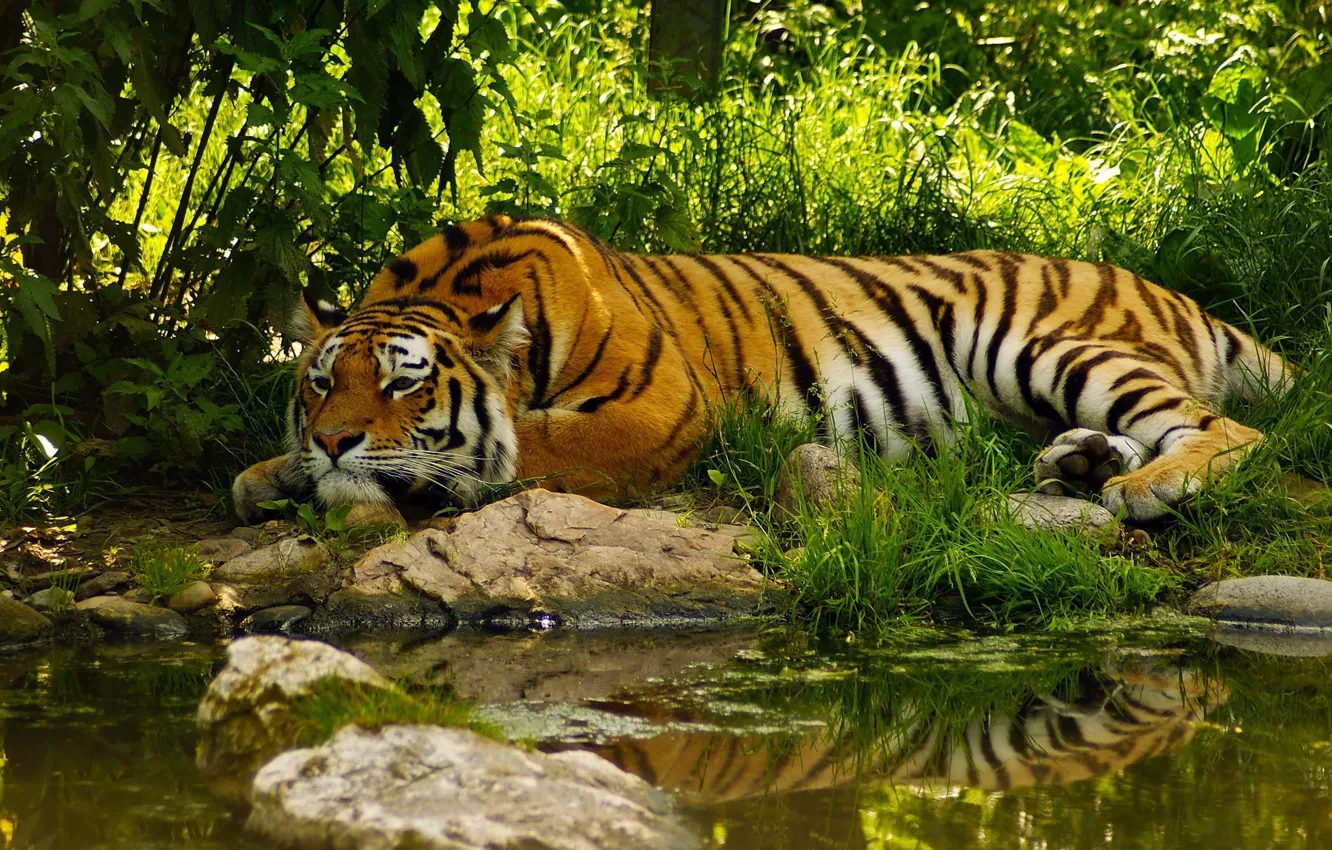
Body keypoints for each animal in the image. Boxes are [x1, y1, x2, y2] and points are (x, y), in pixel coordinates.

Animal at [232, 214, 1293, 524]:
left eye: (405, 382)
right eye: (321, 381)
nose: (334, 441)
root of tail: (1166, 289)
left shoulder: (659, 410)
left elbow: (525, 447)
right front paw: (273, 472)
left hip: (1039, 342)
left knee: (1229, 429)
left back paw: (1146, 488)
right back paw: (1081, 464)